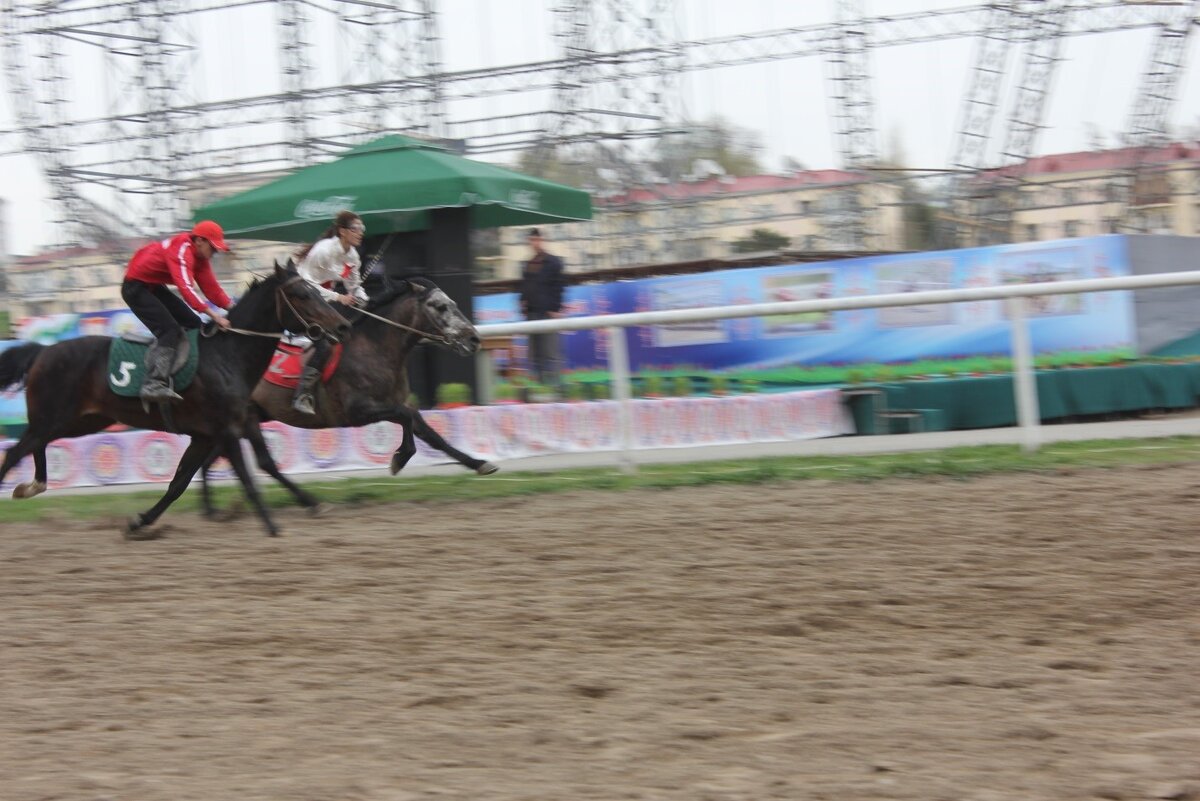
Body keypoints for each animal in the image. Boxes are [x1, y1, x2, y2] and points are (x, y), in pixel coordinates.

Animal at [0, 263, 350, 537]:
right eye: (302, 294)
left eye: (317, 290)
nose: (343, 325)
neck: (228, 355)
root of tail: (43, 351)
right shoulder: (226, 430)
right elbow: (248, 477)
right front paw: (272, 527)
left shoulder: (209, 434)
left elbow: (180, 483)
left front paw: (140, 521)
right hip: (55, 416)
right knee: (16, 451)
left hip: (80, 421)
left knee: (35, 445)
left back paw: (33, 485)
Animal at [199, 273, 494, 513]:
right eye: (441, 306)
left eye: (453, 303)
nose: (473, 339)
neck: (374, 348)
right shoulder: (358, 411)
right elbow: (405, 416)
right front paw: (399, 458)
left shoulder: (392, 402)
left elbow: (431, 433)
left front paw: (479, 463)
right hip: (246, 415)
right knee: (263, 462)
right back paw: (306, 502)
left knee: (212, 458)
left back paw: (214, 509)